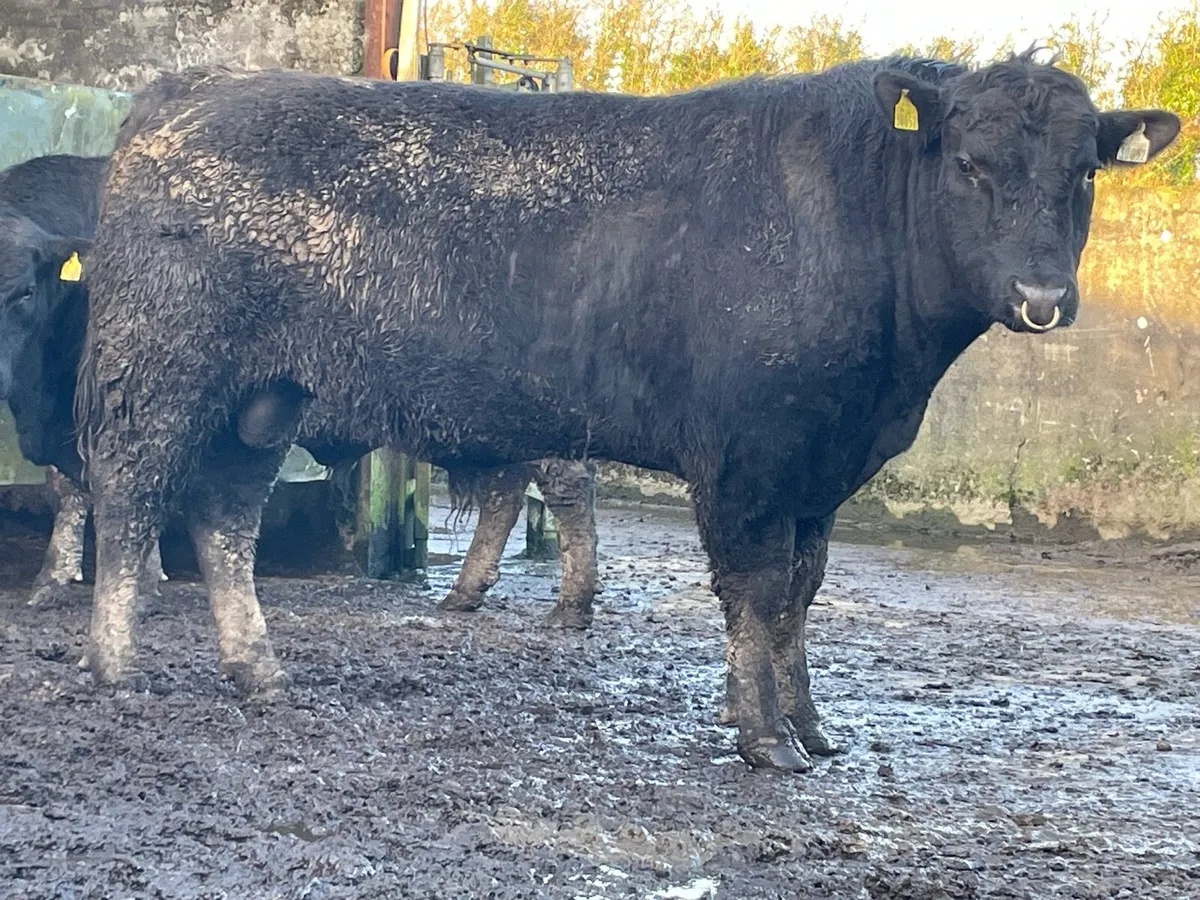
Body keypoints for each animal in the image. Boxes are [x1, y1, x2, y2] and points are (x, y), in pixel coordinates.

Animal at [0, 153, 599, 623]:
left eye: (24, 291)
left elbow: (89, 490)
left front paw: (69, 583)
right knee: (505, 495)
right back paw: (465, 592)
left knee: (565, 490)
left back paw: (571, 606)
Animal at [74, 51, 1178, 771]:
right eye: (970, 165)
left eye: (1083, 172)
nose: (1042, 296)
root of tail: (192, 88)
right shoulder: (746, 457)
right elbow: (754, 592)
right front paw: (761, 736)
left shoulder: (820, 469)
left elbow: (802, 594)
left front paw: (812, 727)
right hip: (163, 371)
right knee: (131, 503)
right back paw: (118, 671)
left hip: (262, 400)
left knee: (224, 520)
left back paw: (258, 675)